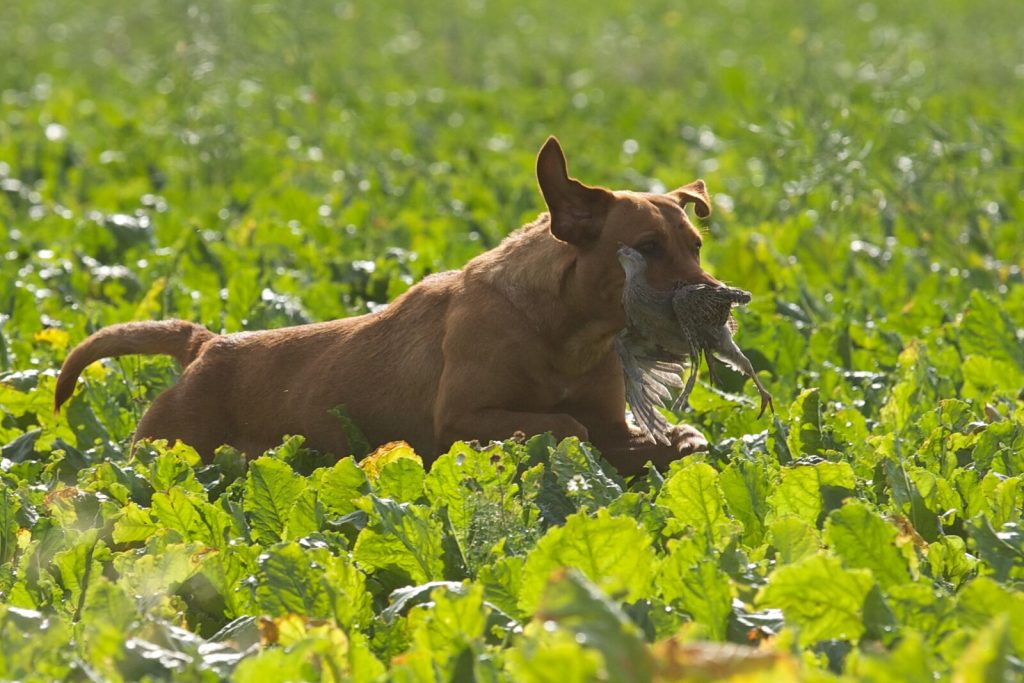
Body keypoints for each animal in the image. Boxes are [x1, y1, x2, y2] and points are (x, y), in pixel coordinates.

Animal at [54, 138, 720, 475]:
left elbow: (659, 435)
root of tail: (208, 345)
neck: (565, 334)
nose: (713, 301)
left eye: (695, 245)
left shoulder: (613, 420)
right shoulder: (462, 418)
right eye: (646, 247)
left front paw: (673, 445)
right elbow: (567, 426)